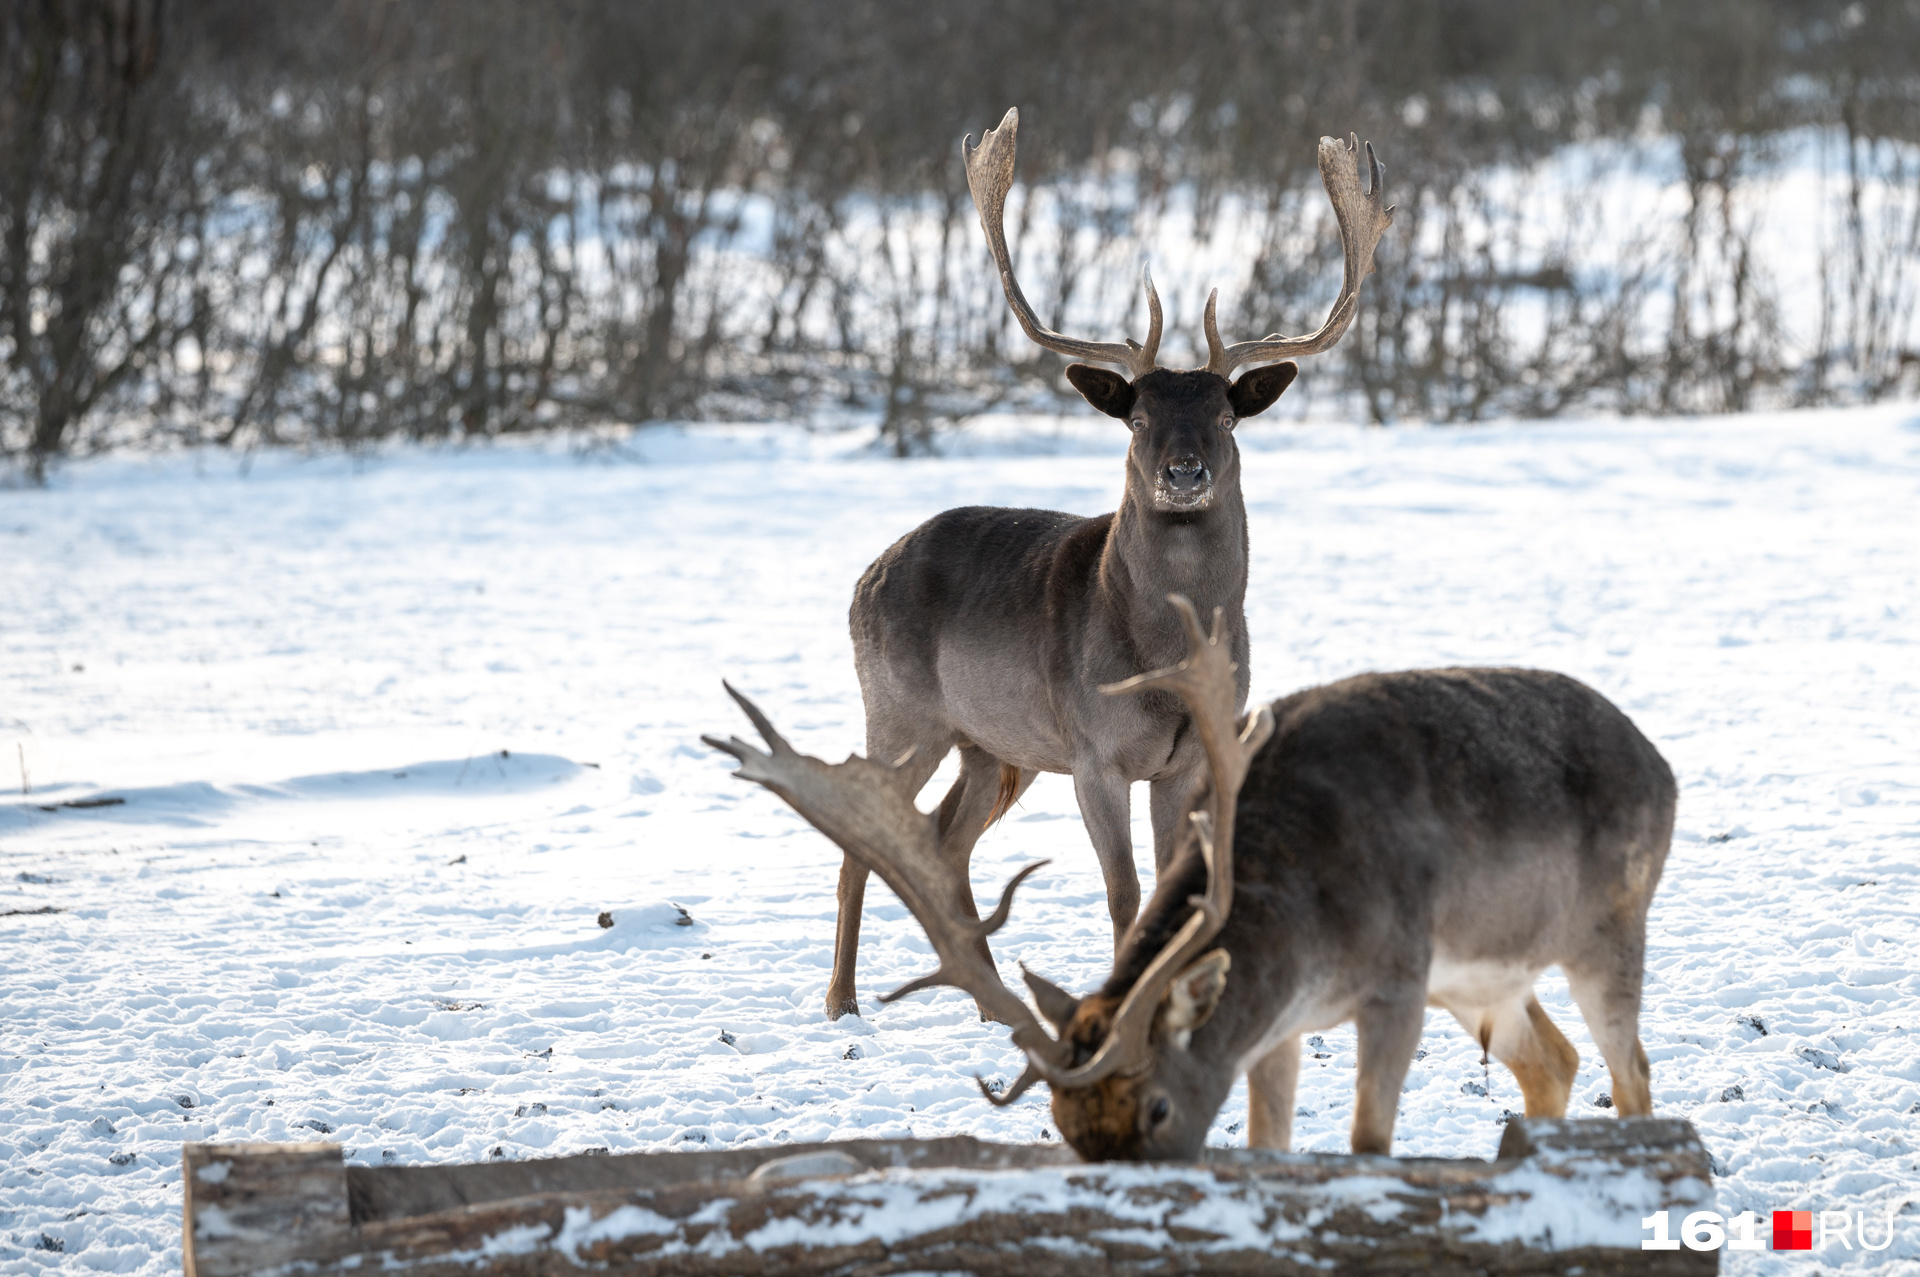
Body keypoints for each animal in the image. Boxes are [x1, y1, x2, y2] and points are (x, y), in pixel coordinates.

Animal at [714, 591, 1674, 1159]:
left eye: (1158, 1108)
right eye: (1059, 1123)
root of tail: (1660, 761)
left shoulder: (1399, 977)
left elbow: (1367, 1143)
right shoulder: (1283, 1023)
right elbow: (1268, 1142)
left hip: (1610, 926)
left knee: (1632, 1073)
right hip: (1487, 979)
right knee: (1553, 1060)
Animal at [825, 111, 1397, 1029]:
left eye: (1227, 415)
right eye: (1136, 417)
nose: (1183, 472)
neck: (1164, 663)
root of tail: (865, 577)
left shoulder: (1193, 757)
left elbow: (1172, 888)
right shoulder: (1095, 752)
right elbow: (1125, 893)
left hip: (993, 743)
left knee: (947, 840)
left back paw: (991, 1003)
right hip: (901, 709)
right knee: (863, 838)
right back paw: (843, 1001)